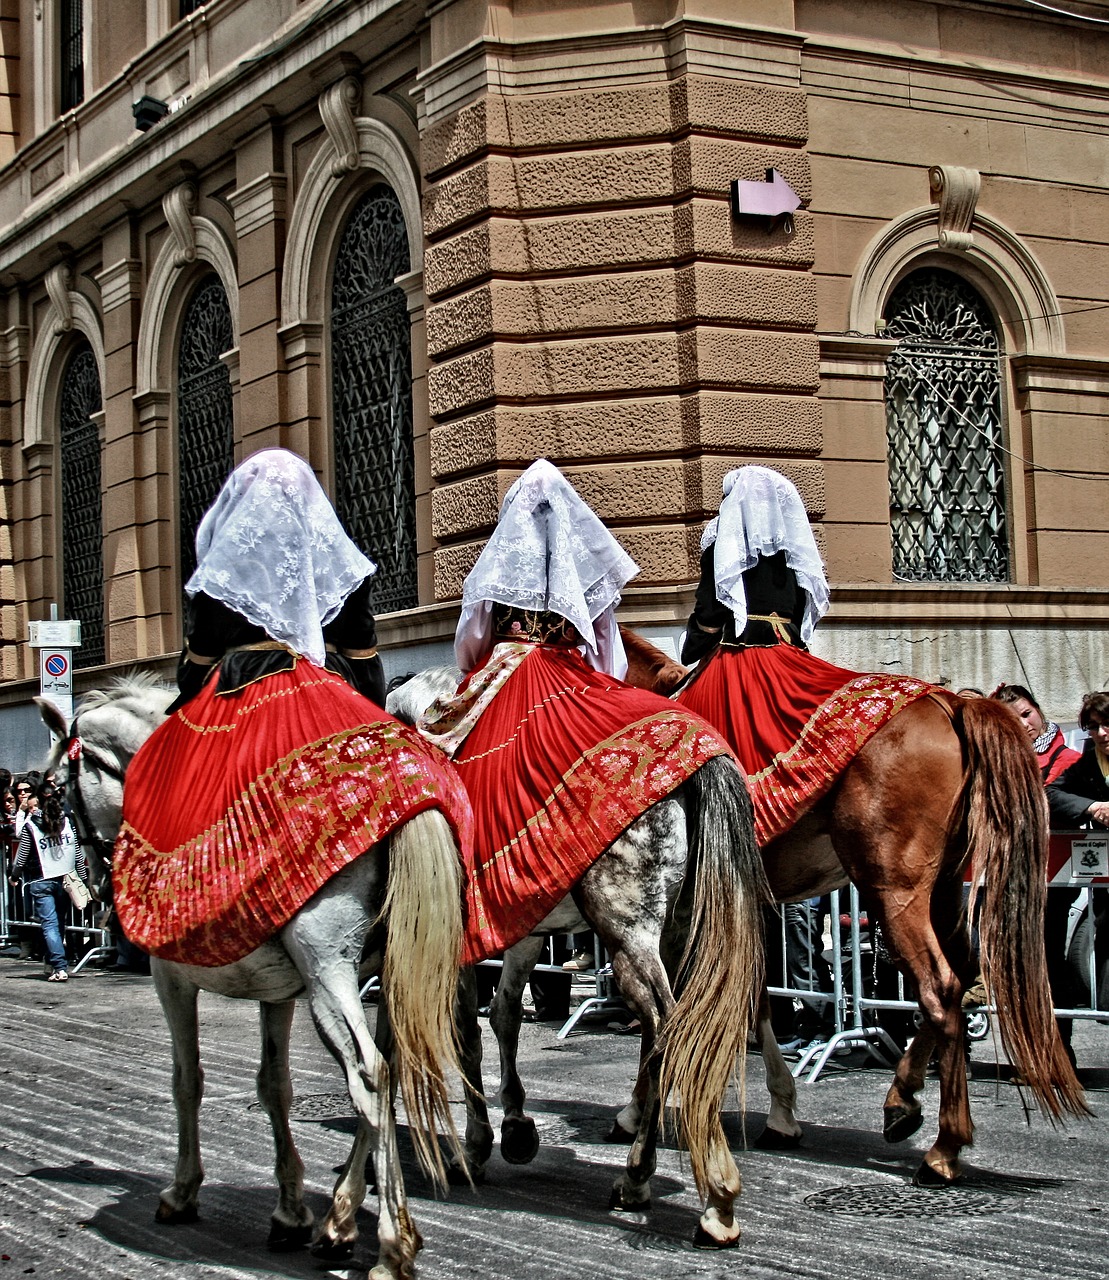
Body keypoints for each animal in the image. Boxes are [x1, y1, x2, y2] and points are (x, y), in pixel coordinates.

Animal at [40, 675, 463, 1274]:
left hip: (330, 974)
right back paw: (339, 1220)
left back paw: (391, 1244)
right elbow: (274, 1086)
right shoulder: (277, 992)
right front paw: (290, 1210)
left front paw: (181, 1191)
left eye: (56, 795)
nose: (95, 886)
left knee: (371, 1075)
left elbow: (187, 1080)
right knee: (392, 1074)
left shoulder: (170, 977)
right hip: (390, 977)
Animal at [389, 665, 768, 1244]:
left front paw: (475, 1146)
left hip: (628, 930)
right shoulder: (522, 927)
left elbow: (467, 1032)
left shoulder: (458, 939)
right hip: (679, 931)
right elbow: (503, 1016)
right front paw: (516, 1128)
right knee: (673, 1029)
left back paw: (683, 1191)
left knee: (666, 1025)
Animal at [617, 627, 1085, 1177]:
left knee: (938, 986)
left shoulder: (677, 912)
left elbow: (671, 1007)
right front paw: (781, 1112)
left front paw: (638, 1108)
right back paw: (903, 1103)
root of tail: (951, 702)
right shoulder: (743, 906)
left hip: (893, 889)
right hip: (945, 886)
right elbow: (755, 999)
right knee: (960, 978)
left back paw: (942, 1147)